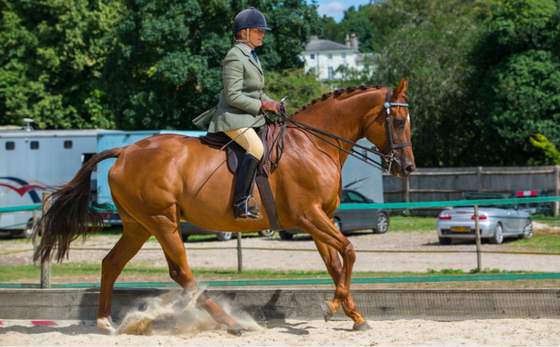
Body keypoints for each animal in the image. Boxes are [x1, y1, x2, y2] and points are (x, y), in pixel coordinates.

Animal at [32, 78, 414, 334]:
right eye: (397, 121)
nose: (407, 167)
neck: (312, 144)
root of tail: (125, 151)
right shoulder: (308, 215)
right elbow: (348, 251)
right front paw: (332, 305)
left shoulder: (320, 217)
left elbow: (335, 263)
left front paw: (353, 315)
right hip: (162, 221)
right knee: (181, 273)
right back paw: (232, 323)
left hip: (139, 225)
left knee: (111, 263)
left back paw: (104, 322)